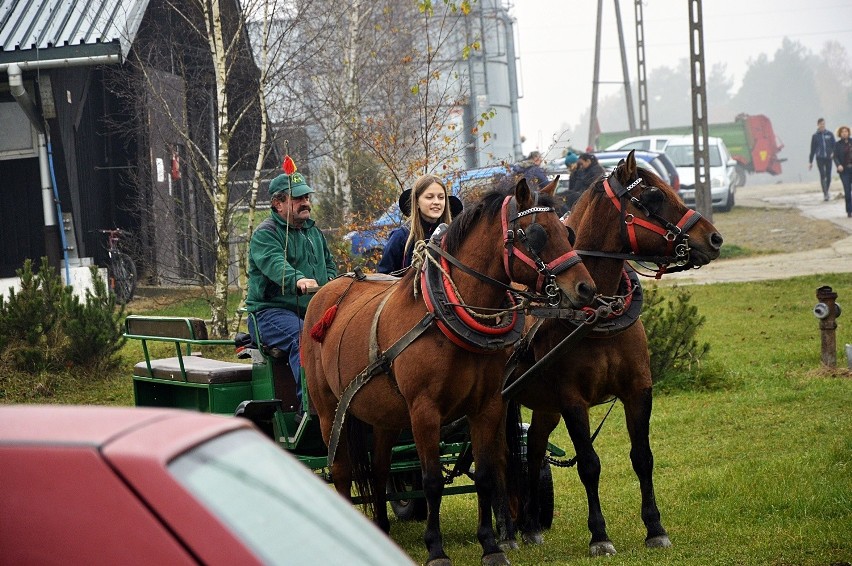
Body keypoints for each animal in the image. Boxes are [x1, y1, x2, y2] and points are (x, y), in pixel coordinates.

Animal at [302, 179, 596, 566]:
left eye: (567, 231)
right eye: (536, 235)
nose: (586, 288)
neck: (446, 314)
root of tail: (327, 291)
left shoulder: (487, 406)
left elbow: (487, 474)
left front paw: (491, 546)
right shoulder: (424, 411)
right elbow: (430, 482)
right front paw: (436, 550)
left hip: (383, 416)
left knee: (380, 471)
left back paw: (380, 530)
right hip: (328, 410)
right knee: (342, 472)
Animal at [502, 151, 724, 560]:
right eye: (654, 197)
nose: (715, 238)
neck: (598, 313)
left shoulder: (638, 389)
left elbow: (643, 457)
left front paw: (655, 528)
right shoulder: (573, 401)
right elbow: (589, 464)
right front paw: (599, 535)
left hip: (545, 406)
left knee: (534, 451)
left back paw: (530, 525)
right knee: (502, 458)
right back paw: (508, 530)